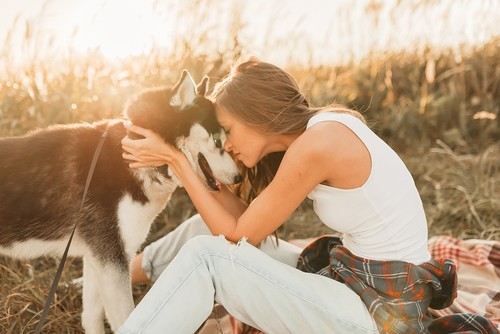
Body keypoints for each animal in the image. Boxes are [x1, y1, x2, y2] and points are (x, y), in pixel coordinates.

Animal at [0, 72, 242, 332]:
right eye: (218, 141)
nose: (240, 177)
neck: (131, 160)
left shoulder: (98, 257)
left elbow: (91, 316)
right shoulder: (112, 259)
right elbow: (127, 319)